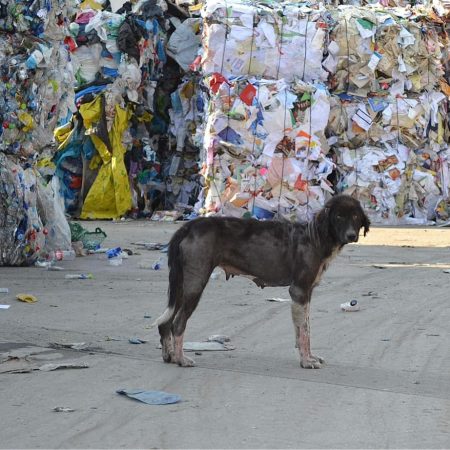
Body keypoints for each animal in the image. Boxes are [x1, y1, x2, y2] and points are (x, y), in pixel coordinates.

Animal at [156, 195, 370, 368]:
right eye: (339, 216)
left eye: (355, 216)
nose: (352, 235)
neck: (316, 235)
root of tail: (189, 225)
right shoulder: (299, 291)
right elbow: (303, 331)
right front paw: (306, 361)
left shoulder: (307, 293)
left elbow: (305, 329)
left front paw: (309, 357)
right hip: (195, 284)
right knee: (177, 323)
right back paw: (181, 359)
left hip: (181, 286)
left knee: (165, 323)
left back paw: (170, 356)